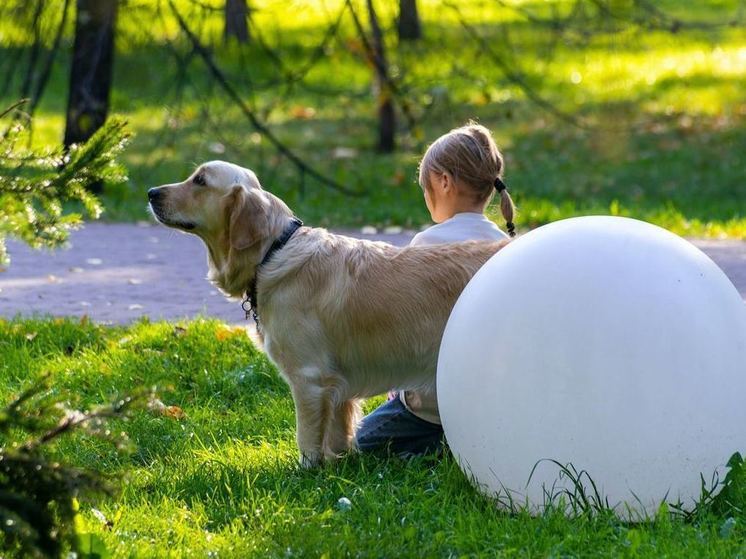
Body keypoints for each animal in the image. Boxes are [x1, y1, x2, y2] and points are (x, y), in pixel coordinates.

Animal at [147, 161, 502, 468]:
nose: (151, 192)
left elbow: (306, 437)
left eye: (200, 181)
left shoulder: (309, 378)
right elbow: (338, 435)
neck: (272, 252)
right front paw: (339, 465)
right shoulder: (337, 386)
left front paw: (305, 472)